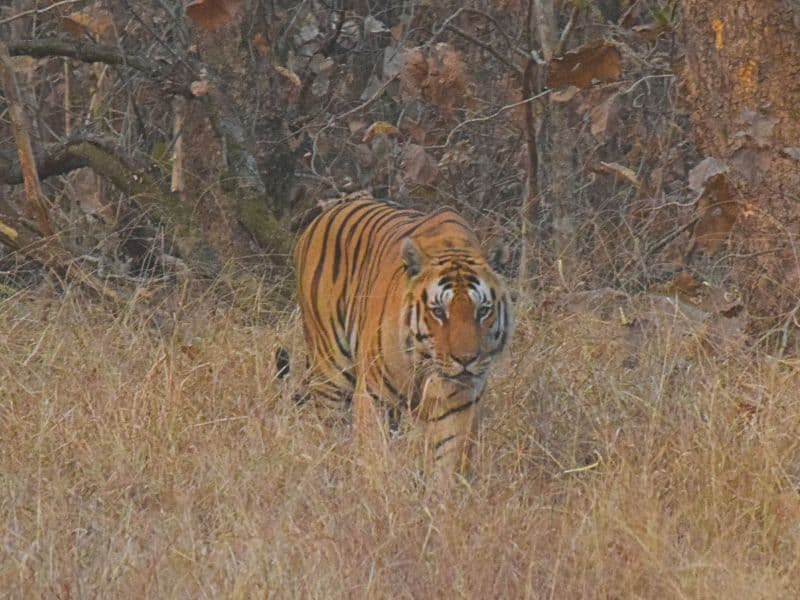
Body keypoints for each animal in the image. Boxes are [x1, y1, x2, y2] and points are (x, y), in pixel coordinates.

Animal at [292, 196, 513, 479]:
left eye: (483, 310)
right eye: (438, 311)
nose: (466, 359)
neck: (424, 359)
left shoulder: (459, 402)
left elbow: (447, 462)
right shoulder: (375, 395)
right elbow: (374, 454)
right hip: (330, 374)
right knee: (331, 429)